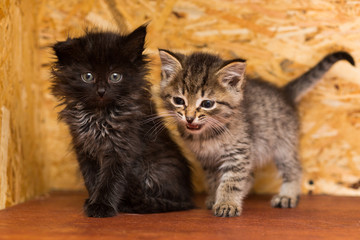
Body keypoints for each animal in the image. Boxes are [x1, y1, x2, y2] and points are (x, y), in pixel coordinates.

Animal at [50, 24, 194, 218]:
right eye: (87, 76)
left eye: (115, 76)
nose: (101, 91)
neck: (99, 116)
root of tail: (188, 198)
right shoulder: (84, 149)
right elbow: (92, 179)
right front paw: (93, 200)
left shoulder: (121, 149)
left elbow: (110, 180)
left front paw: (101, 206)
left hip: (155, 169)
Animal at [160, 49, 354, 218]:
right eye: (178, 100)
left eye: (207, 103)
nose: (189, 118)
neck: (206, 135)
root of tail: (283, 92)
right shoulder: (208, 160)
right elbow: (215, 180)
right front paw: (216, 197)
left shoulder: (238, 153)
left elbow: (231, 181)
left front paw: (227, 203)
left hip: (284, 145)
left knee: (294, 169)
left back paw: (287, 195)